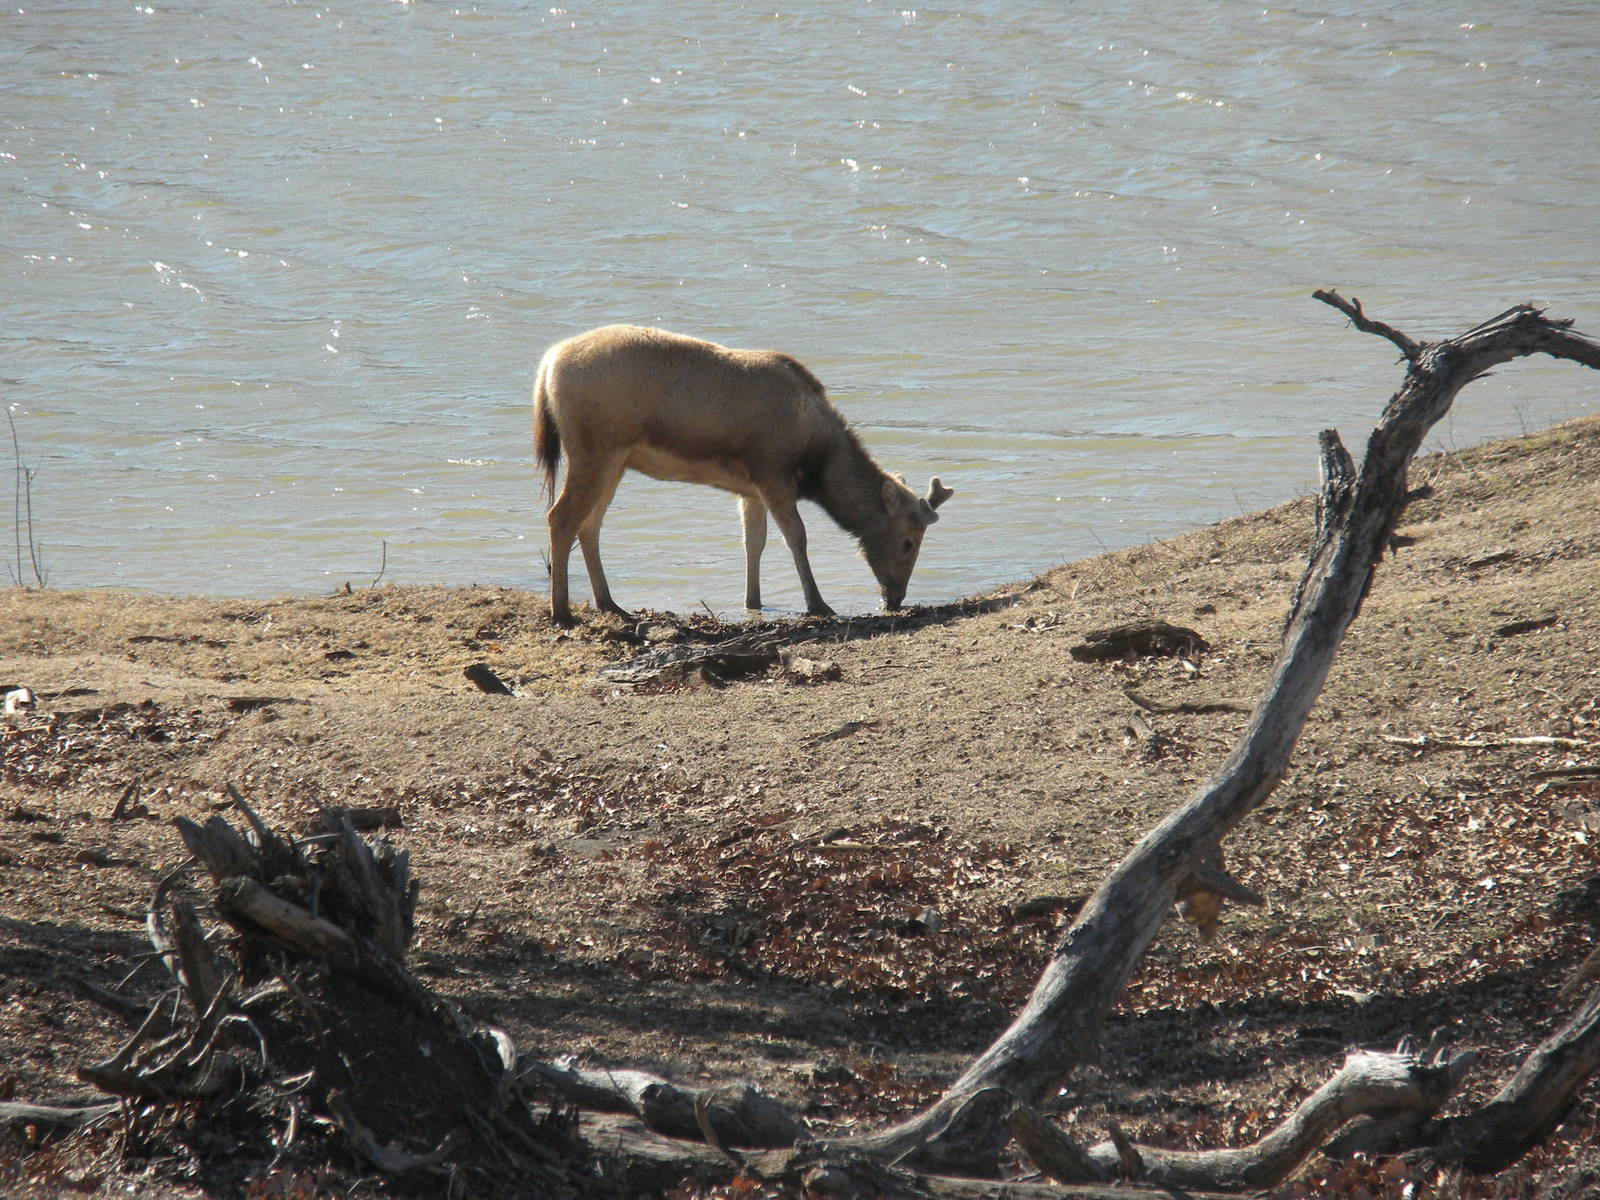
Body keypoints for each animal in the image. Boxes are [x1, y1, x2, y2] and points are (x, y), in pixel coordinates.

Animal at [532, 325, 953, 625]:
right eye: (908, 542)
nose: (895, 598)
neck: (818, 464)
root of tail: (548, 365)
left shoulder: (749, 489)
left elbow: (754, 543)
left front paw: (754, 601)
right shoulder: (773, 474)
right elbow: (796, 537)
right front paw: (818, 603)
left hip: (615, 461)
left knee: (590, 524)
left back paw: (609, 603)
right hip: (595, 450)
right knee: (561, 517)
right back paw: (562, 612)